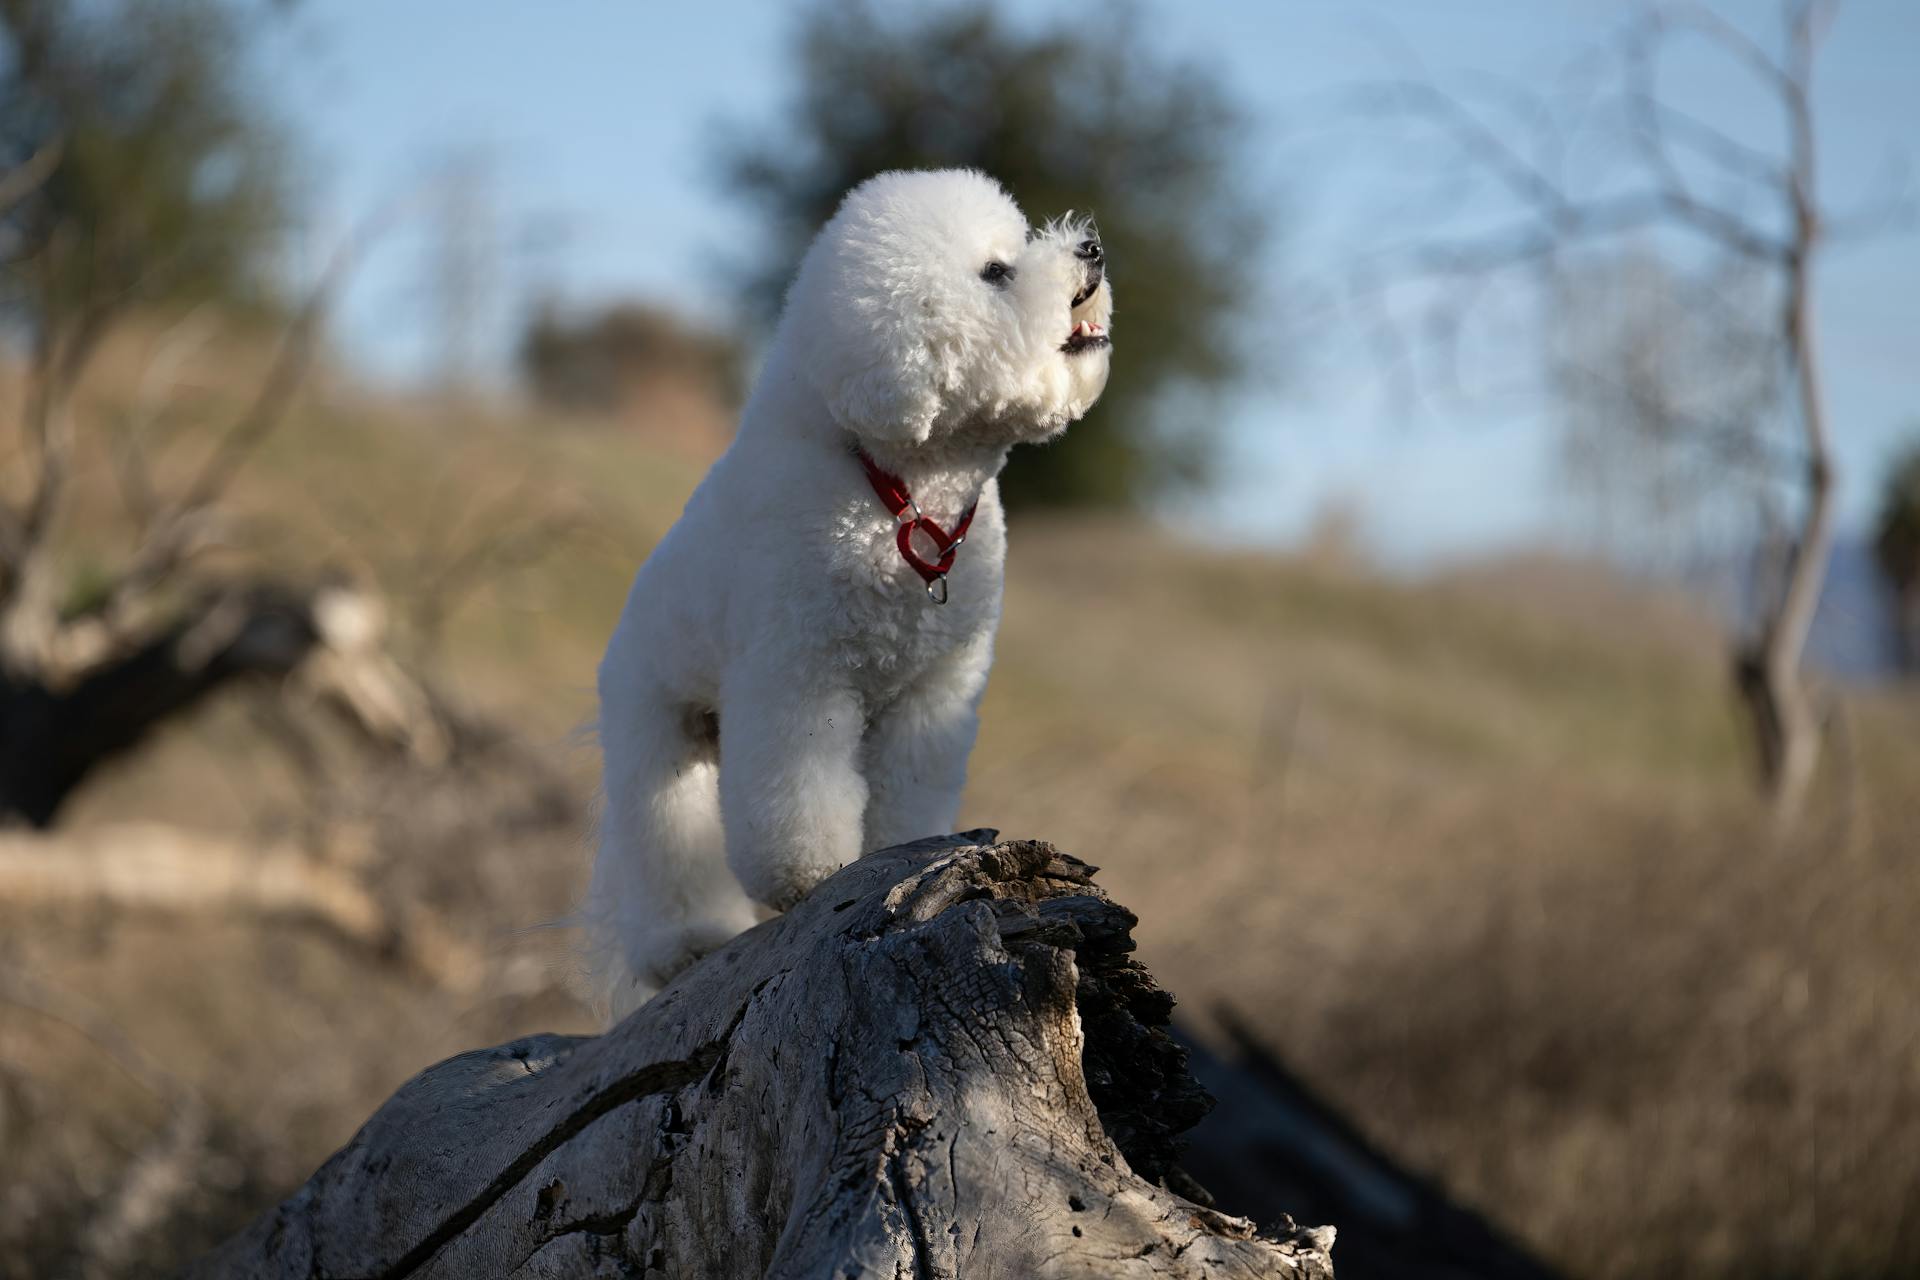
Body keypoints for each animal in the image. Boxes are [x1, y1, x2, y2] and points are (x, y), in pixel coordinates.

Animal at [583, 169, 1113, 1013]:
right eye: (997, 273)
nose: (1090, 249)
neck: (905, 489)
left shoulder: (934, 692)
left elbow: (909, 794)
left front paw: (906, 856)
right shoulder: (798, 678)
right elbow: (796, 801)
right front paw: (810, 876)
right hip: (654, 732)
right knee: (663, 840)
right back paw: (682, 944)